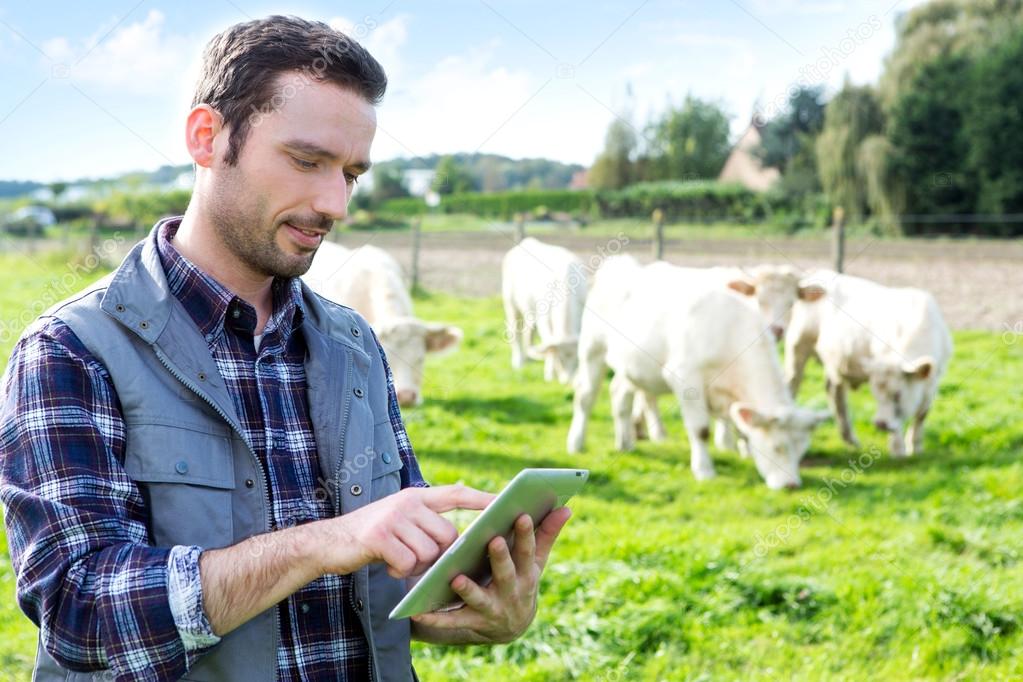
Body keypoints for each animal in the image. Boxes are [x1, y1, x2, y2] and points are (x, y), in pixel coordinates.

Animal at [501, 237, 589, 384]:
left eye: (577, 359)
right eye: (560, 358)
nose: (567, 381)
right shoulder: (544, 322)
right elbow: (549, 346)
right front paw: (550, 375)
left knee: (527, 332)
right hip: (511, 305)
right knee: (515, 332)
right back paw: (518, 362)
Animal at [568, 258, 830, 488]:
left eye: (802, 451)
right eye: (777, 447)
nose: (792, 485)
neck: (730, 329)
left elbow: (737, 425)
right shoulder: (686, 378)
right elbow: (701, 430)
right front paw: (704, 470)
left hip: (632, 365)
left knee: (620, 396)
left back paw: (625, 443)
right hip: (592, 350)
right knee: (586, 396)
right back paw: (576, 443)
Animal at [785, 269, 953, 456]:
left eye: (898, 394)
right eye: (876, 394)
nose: (880, 424)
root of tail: (816, 273)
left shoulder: (934, 381)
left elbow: (921, 415)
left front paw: (916, 447)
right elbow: (898, 424)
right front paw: (898, 450)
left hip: (834, 364)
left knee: (834, 391)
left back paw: (849, 438)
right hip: (797, 346)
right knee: (792, 382)